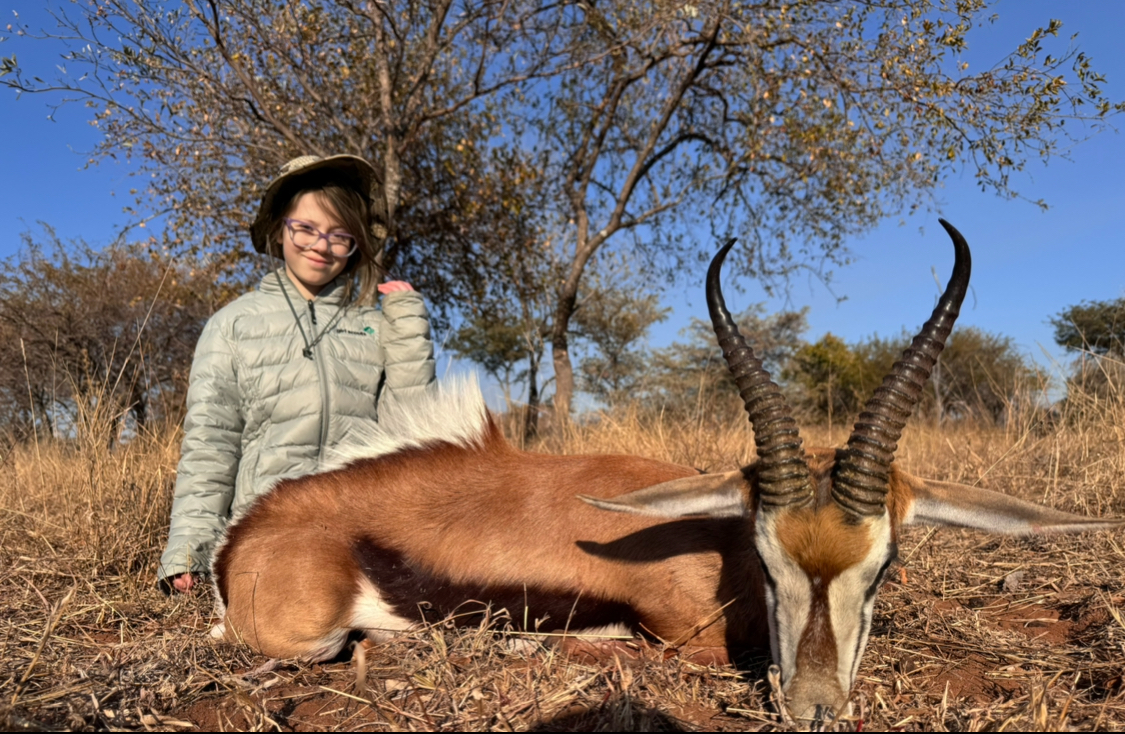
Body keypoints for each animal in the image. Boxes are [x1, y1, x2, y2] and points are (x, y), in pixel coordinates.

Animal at [211, 220, 1121, 727]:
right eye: (766, 561)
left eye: (884, 565)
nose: (814, 709)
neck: (718, 562)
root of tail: (247, 531)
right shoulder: (684, 634)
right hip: (312, 634)